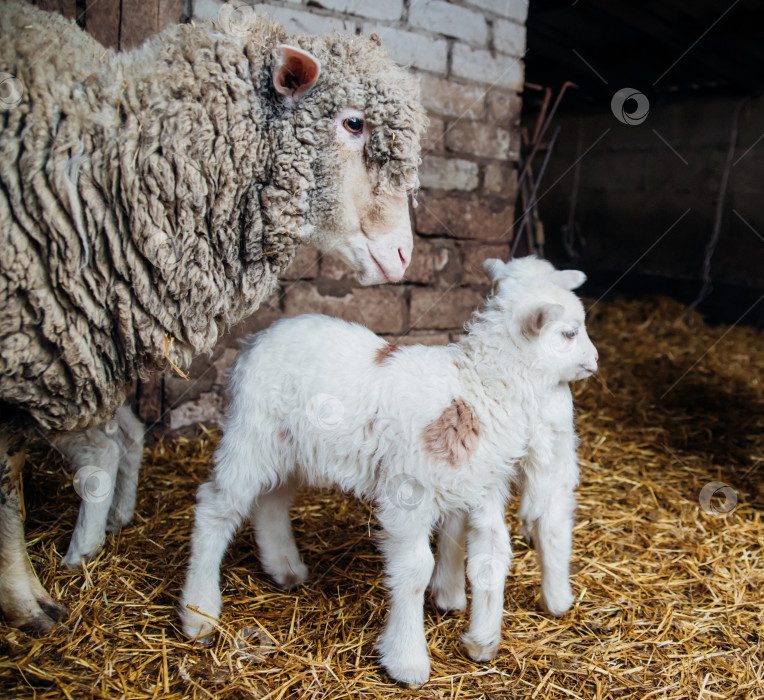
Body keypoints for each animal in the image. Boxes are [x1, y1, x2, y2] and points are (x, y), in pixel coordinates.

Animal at [178, 256, 596, 684]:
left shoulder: (481, 488)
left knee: (272, 501)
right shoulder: (409, 492)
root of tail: (256, 339)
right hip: (252, 433)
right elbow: (414, 570)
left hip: (290, 448)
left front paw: (481, 642)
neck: (477, 387)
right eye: (568, 333)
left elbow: (491, 556)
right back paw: (200, 614)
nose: (595, 360)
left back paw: (286, 569)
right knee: (216, 507)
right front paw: (408, 661)